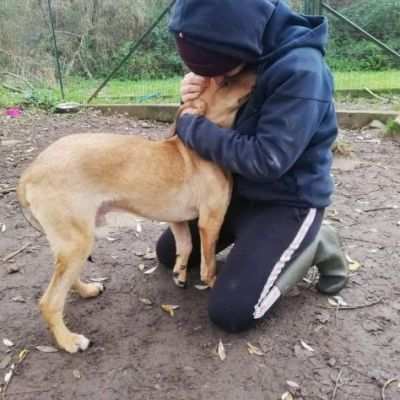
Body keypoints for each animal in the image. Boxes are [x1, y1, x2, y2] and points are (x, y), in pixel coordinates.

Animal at [16, 69, 256, 354]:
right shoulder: (210, 221)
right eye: (227, 82)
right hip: (77, 243)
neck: (197, 148)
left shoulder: (177, 220)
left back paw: (86, 290)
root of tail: (29, 173)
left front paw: (180, 274)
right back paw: (69, 340)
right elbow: (208, 265)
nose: (256, 70)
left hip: (68, 244)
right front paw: (212, 282)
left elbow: (185, 246)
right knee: (49, 301)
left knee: (64, 280)